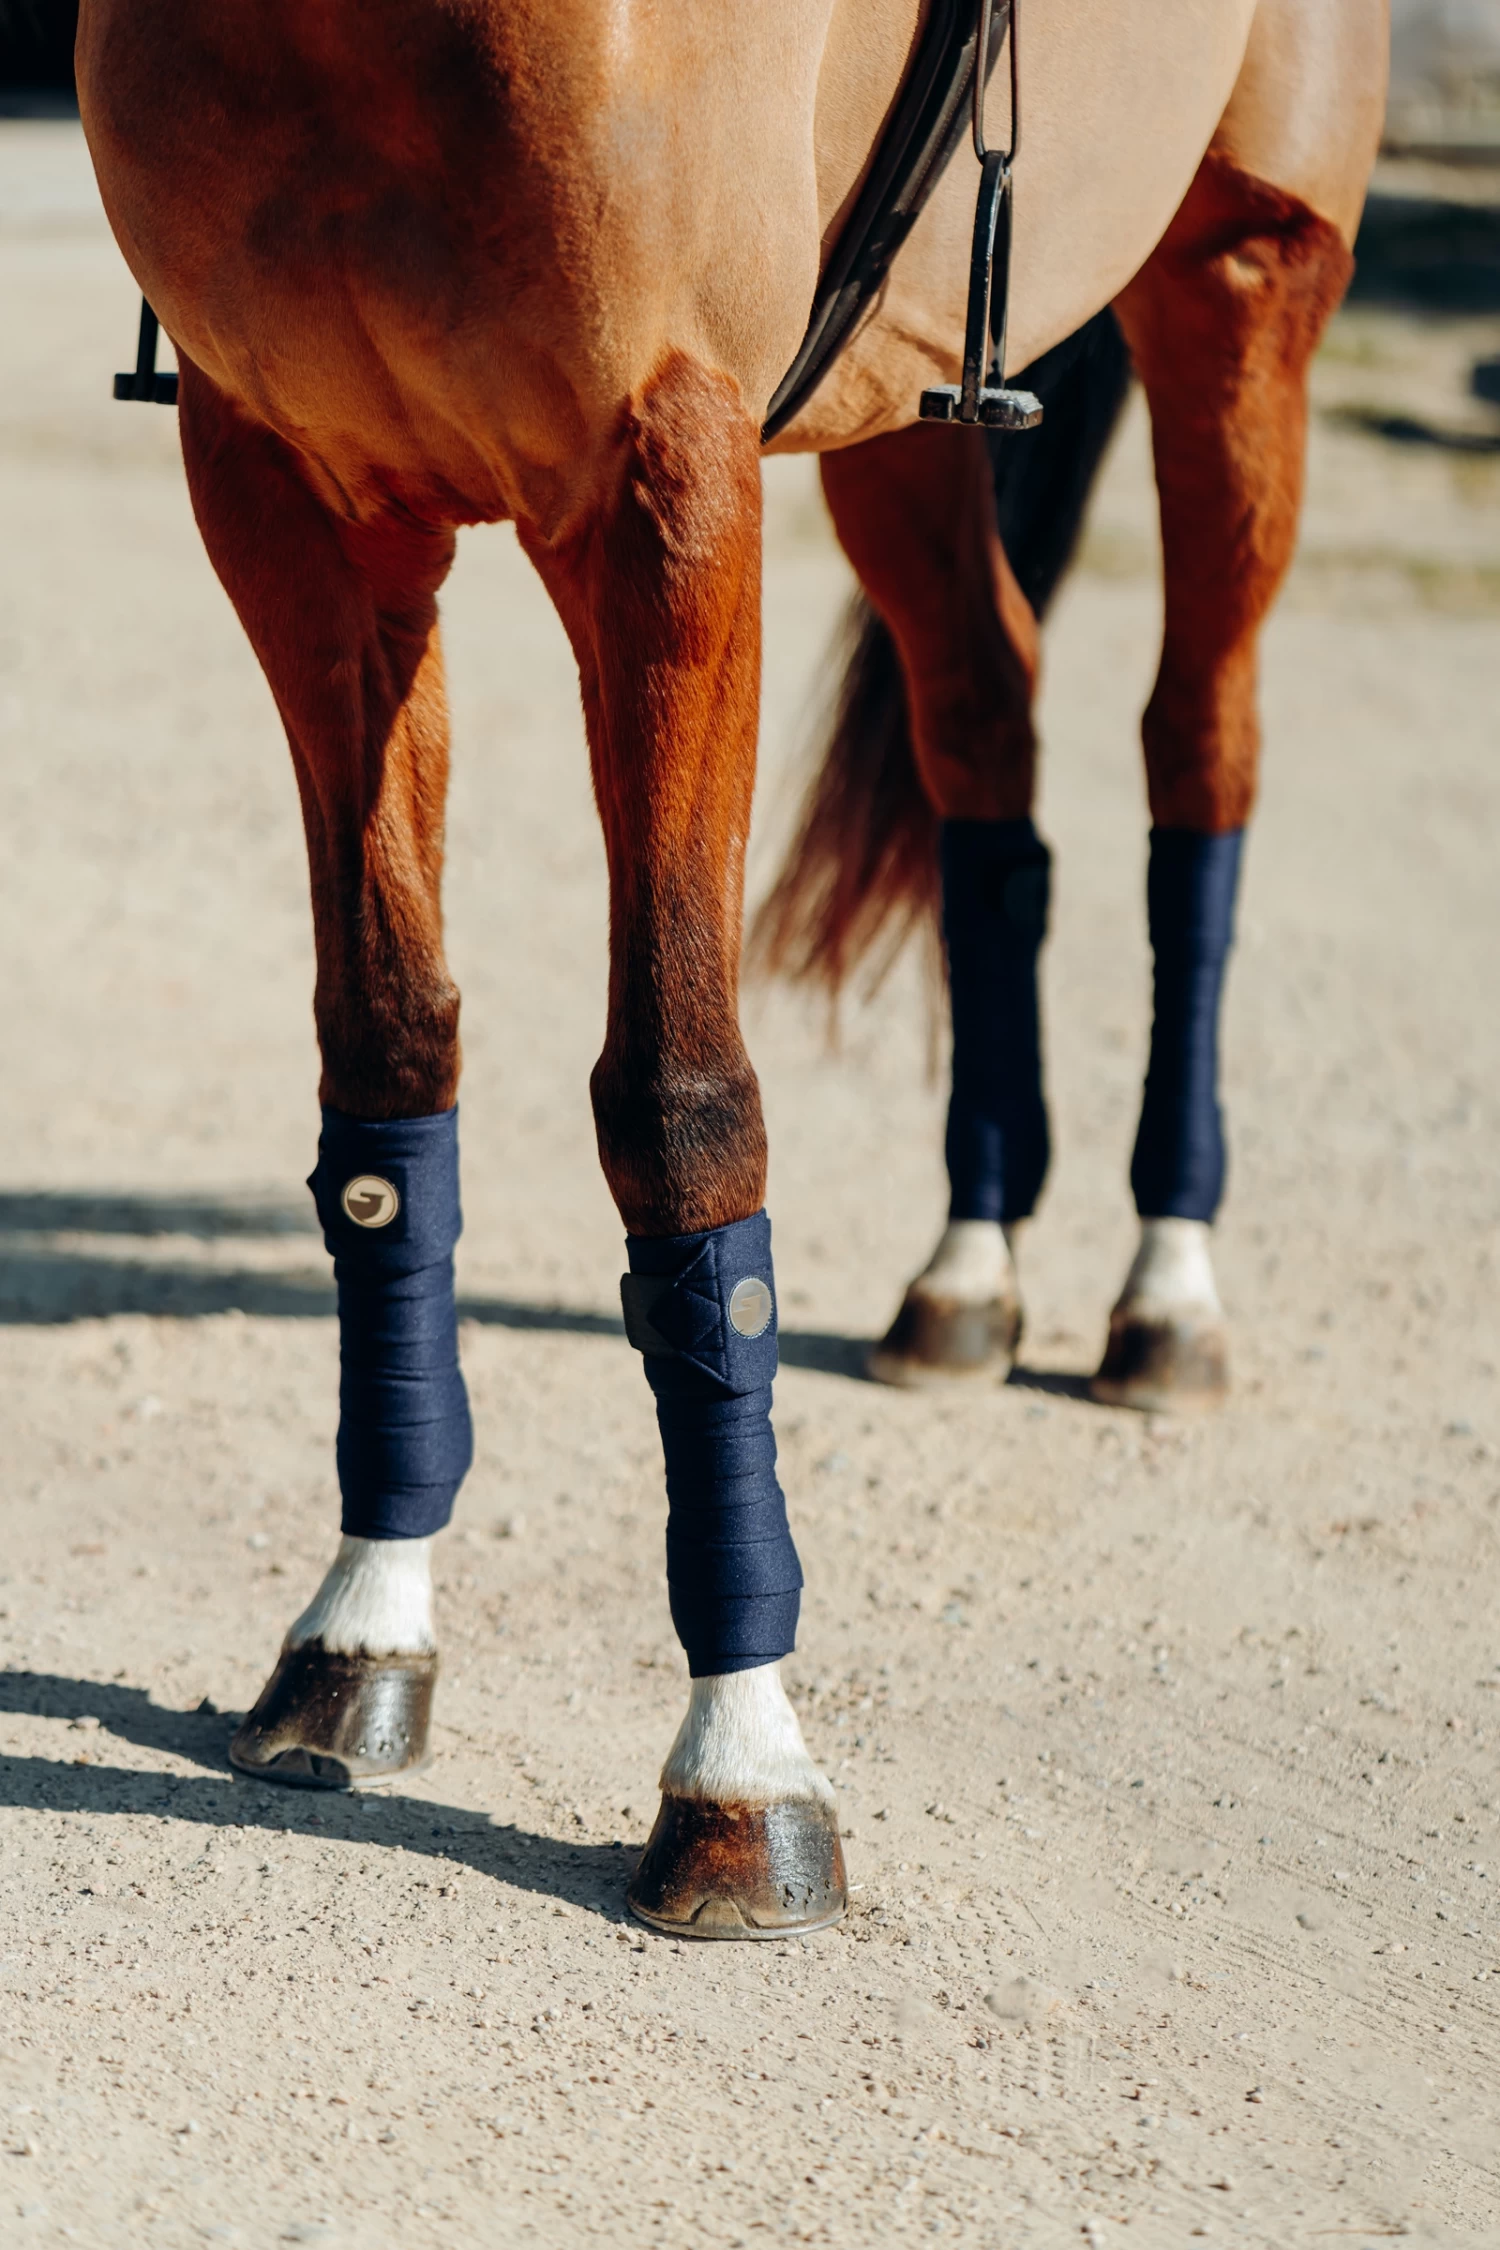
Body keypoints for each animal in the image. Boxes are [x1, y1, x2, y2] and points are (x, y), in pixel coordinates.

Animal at [75, 0, 1387, 1939]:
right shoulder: (294, 500)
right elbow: (386, 1070)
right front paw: (362, 1622)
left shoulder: (657, 491)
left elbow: (680, 1112)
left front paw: (741, 1768)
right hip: (901, 400)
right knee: (984, 727)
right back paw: (970, 1271)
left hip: (1243, 281)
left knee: (1196, 759)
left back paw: (1169, 1292)